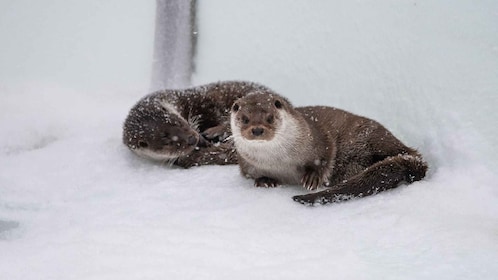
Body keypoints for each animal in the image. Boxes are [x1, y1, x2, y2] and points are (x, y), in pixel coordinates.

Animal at [230, 91, 428, 205]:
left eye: (269, 118)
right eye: (245, 119)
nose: (257, 129)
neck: (279, 162)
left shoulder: (318, 139)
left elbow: (325, 156)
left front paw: (312, 178)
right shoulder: (247, 165)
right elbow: (253, 175)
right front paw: (265, 180)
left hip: (372, 136)